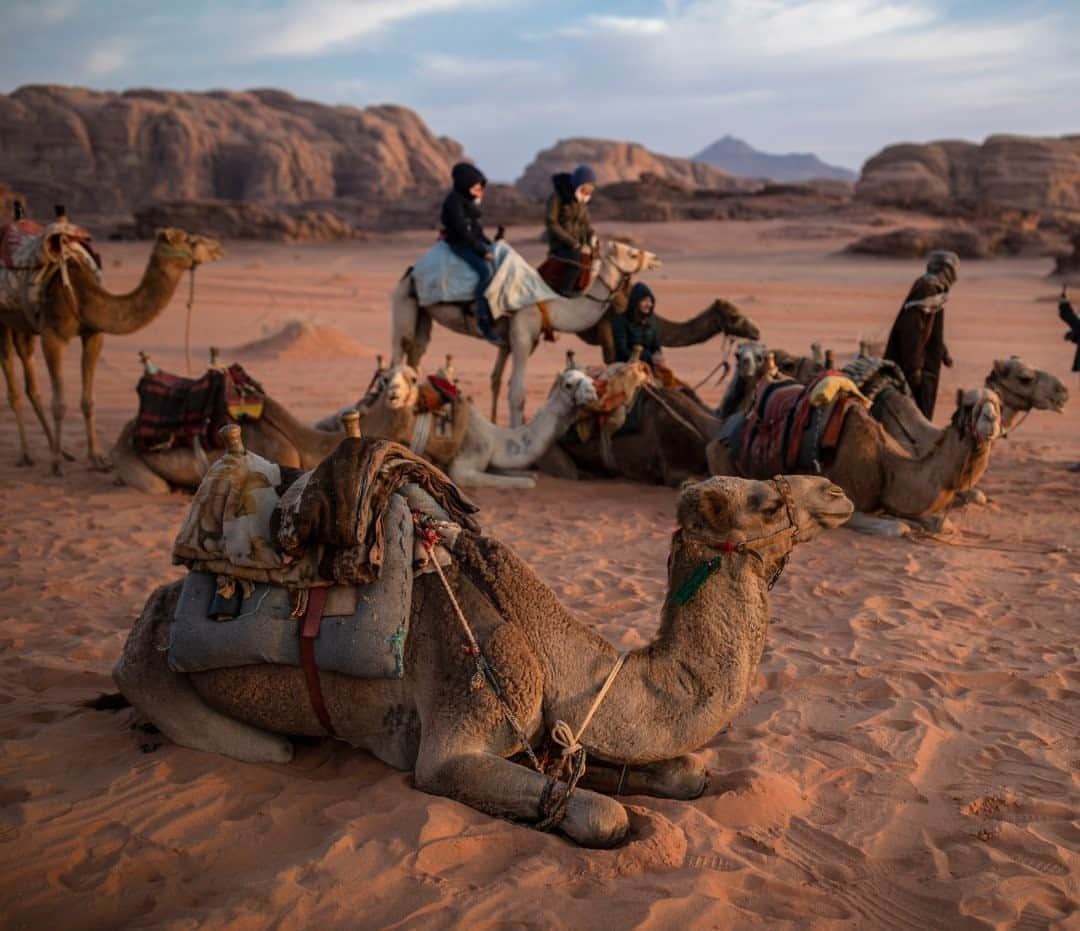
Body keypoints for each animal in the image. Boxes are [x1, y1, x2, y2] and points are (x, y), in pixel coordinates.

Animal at [388, 240, 656, 429]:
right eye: (632, 254)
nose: (654, 259)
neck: (549, 304)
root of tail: (411, 271)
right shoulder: (522, 337)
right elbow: (517, 393)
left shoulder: (513, 342)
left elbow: (497, 380)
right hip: (404, 300)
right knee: (400, 349)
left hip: (424, 314)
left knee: (416, 352)